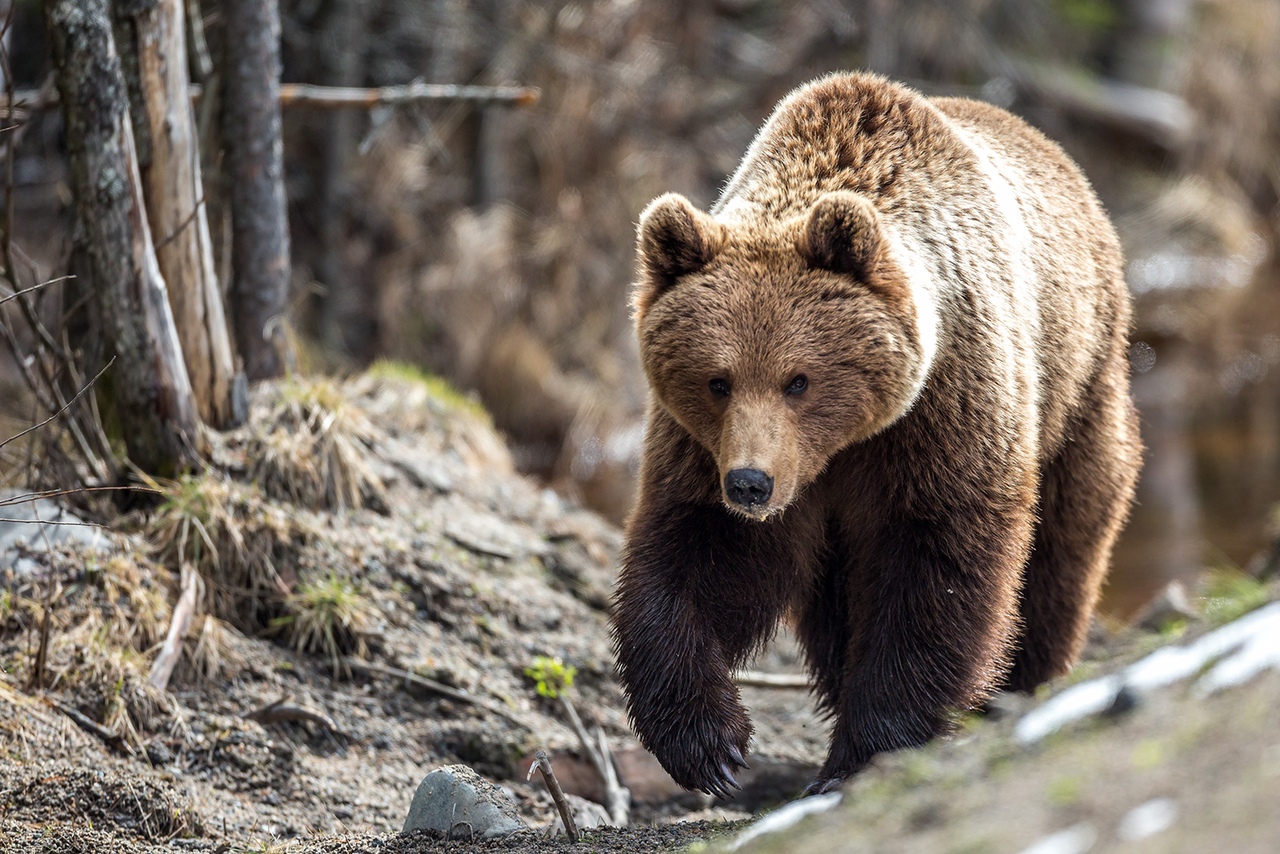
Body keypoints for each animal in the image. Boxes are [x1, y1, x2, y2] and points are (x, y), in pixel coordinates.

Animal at [609, 70, 1141, 798]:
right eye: (718, 379)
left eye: (798, 379)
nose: (750, 483)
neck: (844, 444)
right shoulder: (710, 450)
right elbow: (699, 556)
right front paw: (708, 742)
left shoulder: (944, 413)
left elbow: (936, 571)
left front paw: (869, 748)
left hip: (1079, 385)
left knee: (1063, 544)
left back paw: (1022, 683)